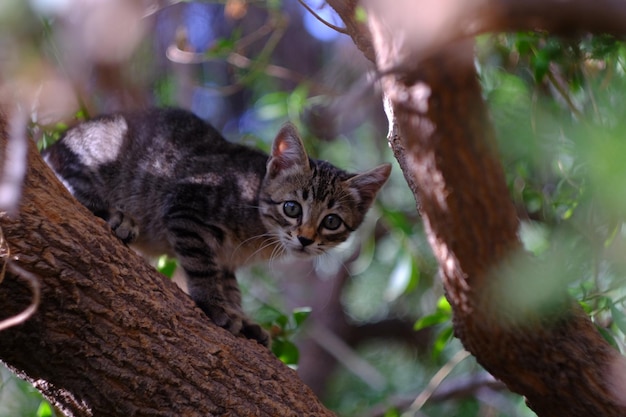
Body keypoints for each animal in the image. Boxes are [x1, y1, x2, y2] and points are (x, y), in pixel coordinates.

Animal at [46, 107, 390, 344]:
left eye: (331, 221)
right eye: (292, 208)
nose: (305, 239)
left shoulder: (226, 260)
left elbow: (230, 287)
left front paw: (242, 318)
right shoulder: (185, 205)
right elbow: (203, 266)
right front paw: (215, 304)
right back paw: (115, 216)